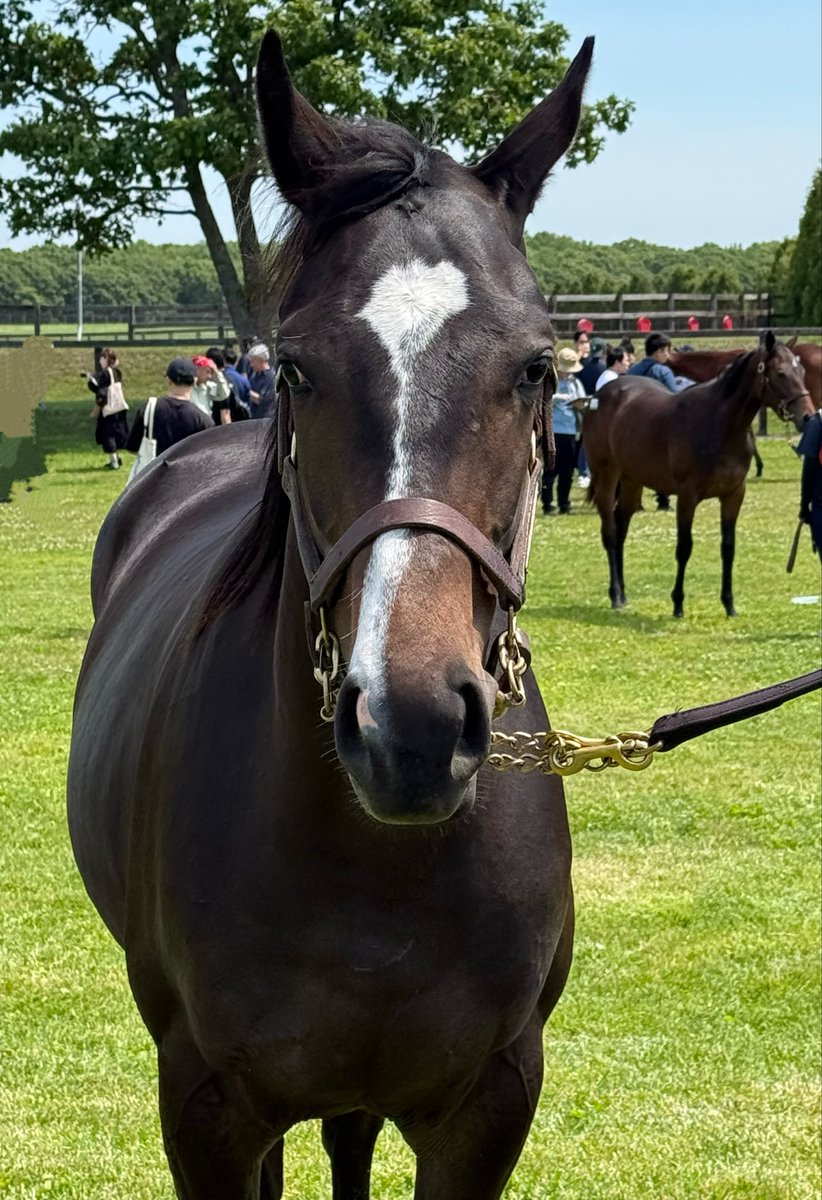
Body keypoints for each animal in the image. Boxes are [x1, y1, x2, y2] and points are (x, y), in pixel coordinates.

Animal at [583, 332, 814, 618]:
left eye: (801, 370)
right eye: (780, 373)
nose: (808, 417)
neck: (719, 425)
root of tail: (601, 395)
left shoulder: (734, 495)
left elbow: (728, 547)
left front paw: (729, 604)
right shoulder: (687, 497)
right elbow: (684, 548)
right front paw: (678, 604)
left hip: (632, 482)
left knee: (622, 529)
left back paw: (624, 596)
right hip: (606, 475)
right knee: (611, 533)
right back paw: (615, 596)